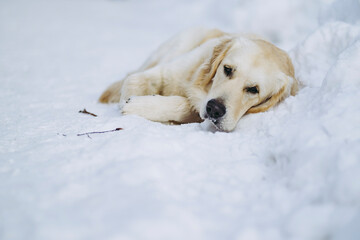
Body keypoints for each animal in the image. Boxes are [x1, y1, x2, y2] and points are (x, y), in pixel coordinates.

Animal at [99, 29, 298, 133]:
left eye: (253, 89)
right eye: (227, 69)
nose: (215, 109)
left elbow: (186, 106)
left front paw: (139, 106)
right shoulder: (165, 71)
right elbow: (134, 81)